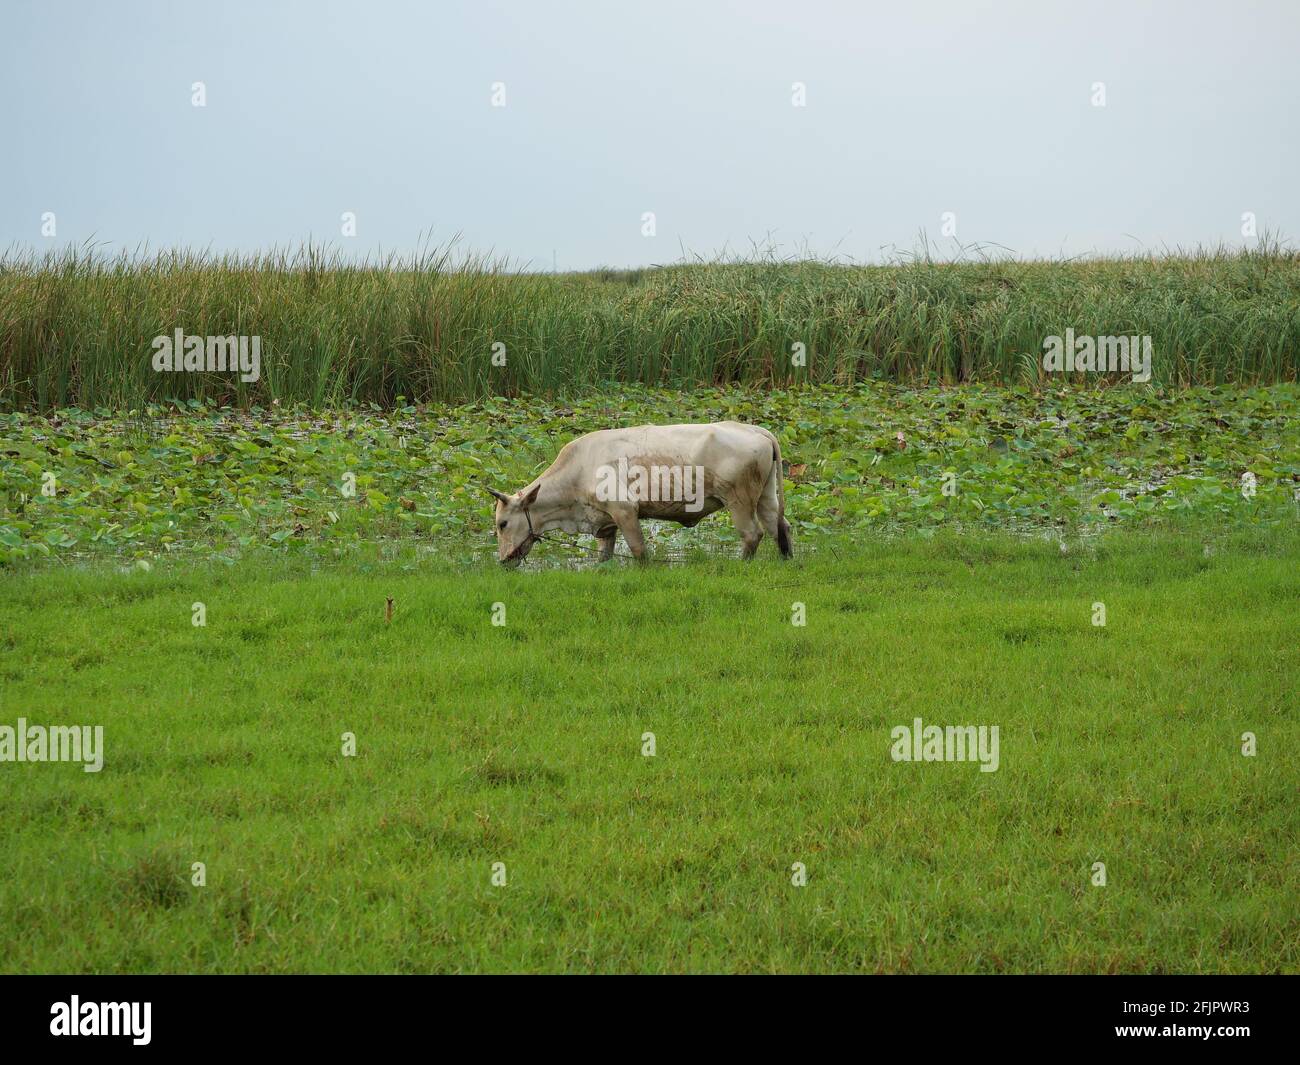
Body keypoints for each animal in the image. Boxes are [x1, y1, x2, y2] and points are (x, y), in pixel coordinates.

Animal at [488, 423, 790, 566]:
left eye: (502, 523)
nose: (503, 561)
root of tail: (755, 429)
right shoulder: (606, 522)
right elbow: (604, 555)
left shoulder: (624, 510)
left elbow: (638, 550)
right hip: (765, 496)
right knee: (780, 528)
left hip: (738, 500)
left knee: (753, 534)